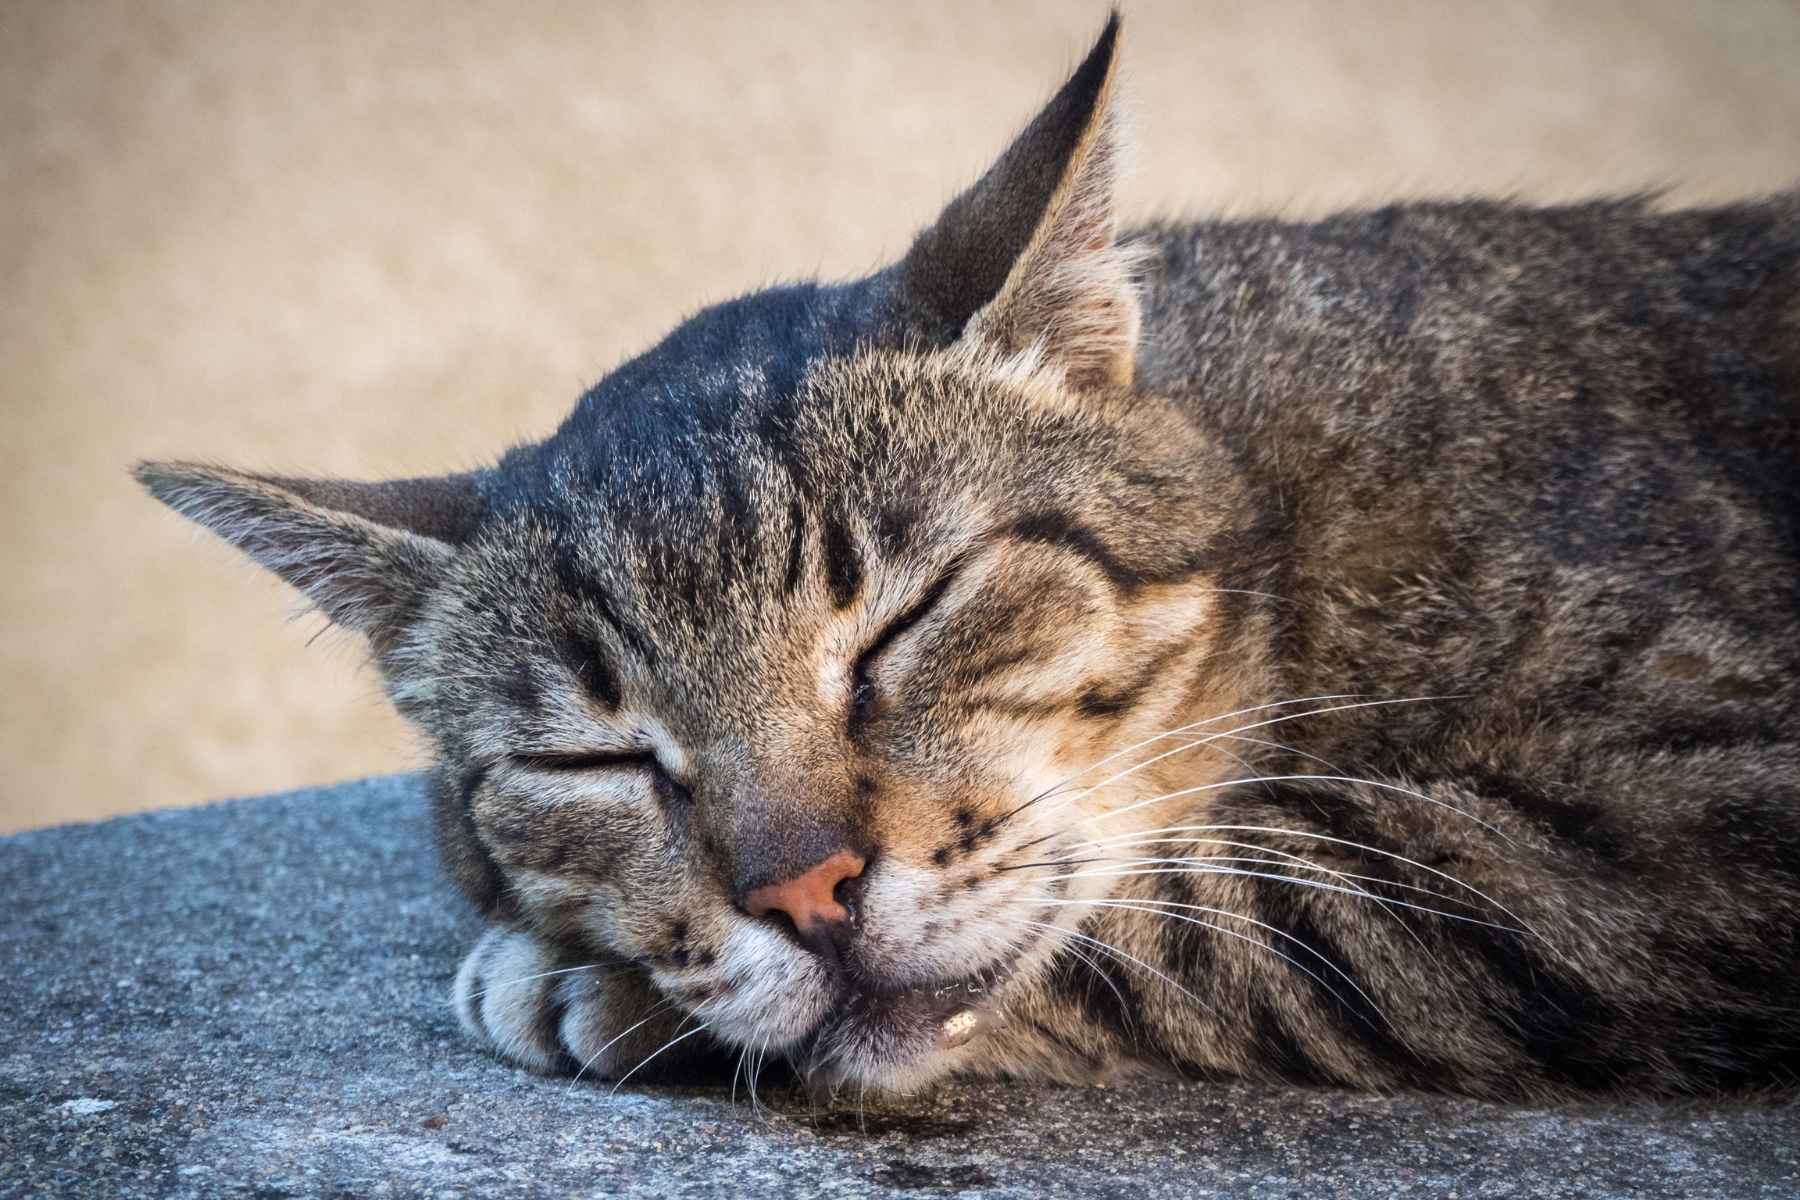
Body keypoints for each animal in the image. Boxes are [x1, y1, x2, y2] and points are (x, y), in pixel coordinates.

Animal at [140, 14, 1800, 1101]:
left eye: (903, 624)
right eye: (596, 764)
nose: (803, 893)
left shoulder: (1691, 795)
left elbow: (1219, 915)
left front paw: (582, 985)